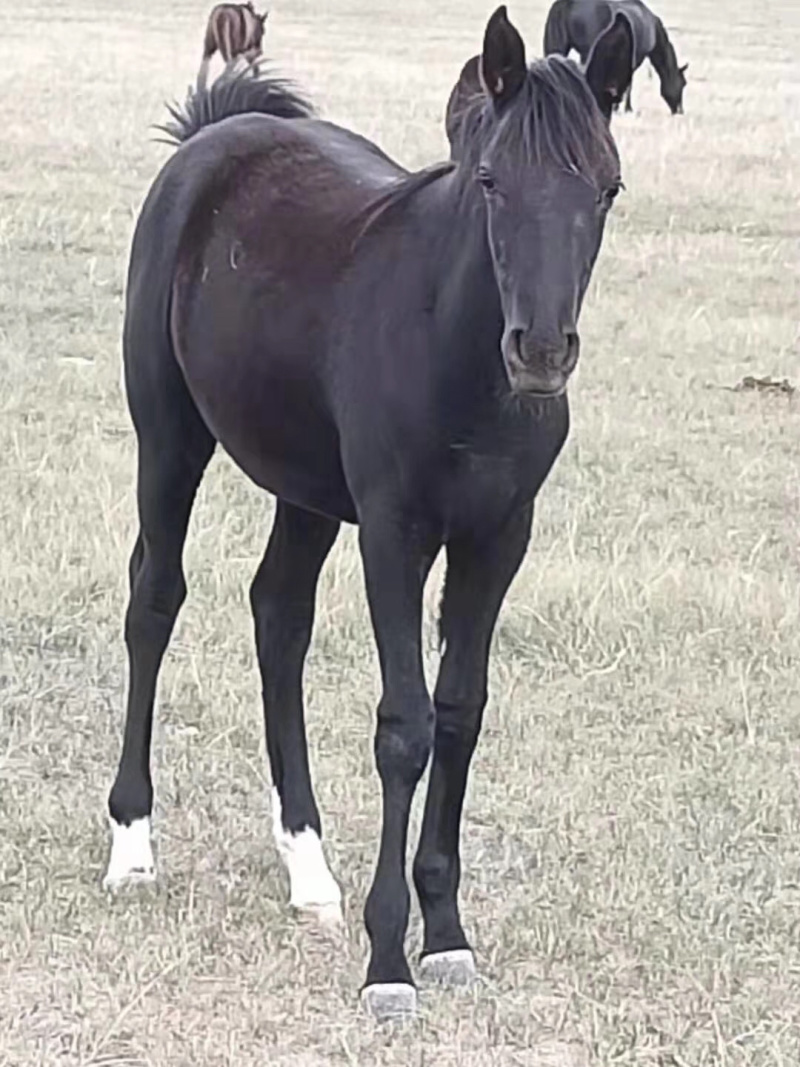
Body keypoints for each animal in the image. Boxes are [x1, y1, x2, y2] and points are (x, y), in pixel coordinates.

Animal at [104, 5, 633, 1021]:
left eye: (609, 188)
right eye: (491, 179)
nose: (542, 351)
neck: (456, 351)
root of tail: (215, 135)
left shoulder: (497, 539)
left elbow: (460, 713)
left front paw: (448, 935)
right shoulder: (394, 532)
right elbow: (405, 725)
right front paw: (389, 959)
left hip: (308, 489)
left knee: (278, 615)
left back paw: (309, 868)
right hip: (170, 435)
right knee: (154, 599)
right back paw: (133, 844)